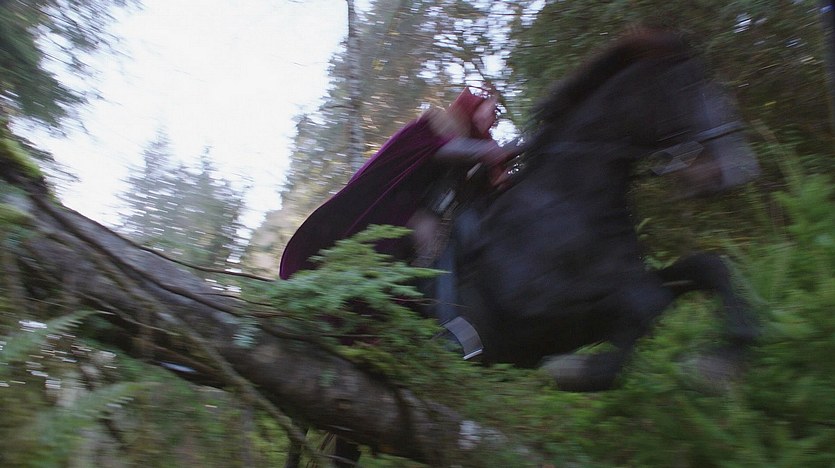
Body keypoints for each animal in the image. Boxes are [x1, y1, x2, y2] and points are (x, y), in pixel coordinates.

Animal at [441, 30, 760, 392]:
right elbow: (646, 301)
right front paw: (573, 370)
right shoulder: (529, 305)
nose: (741, 168)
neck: (566, 200)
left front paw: (723, 359)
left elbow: (708, 268)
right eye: (688, 85)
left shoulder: (623, 283)